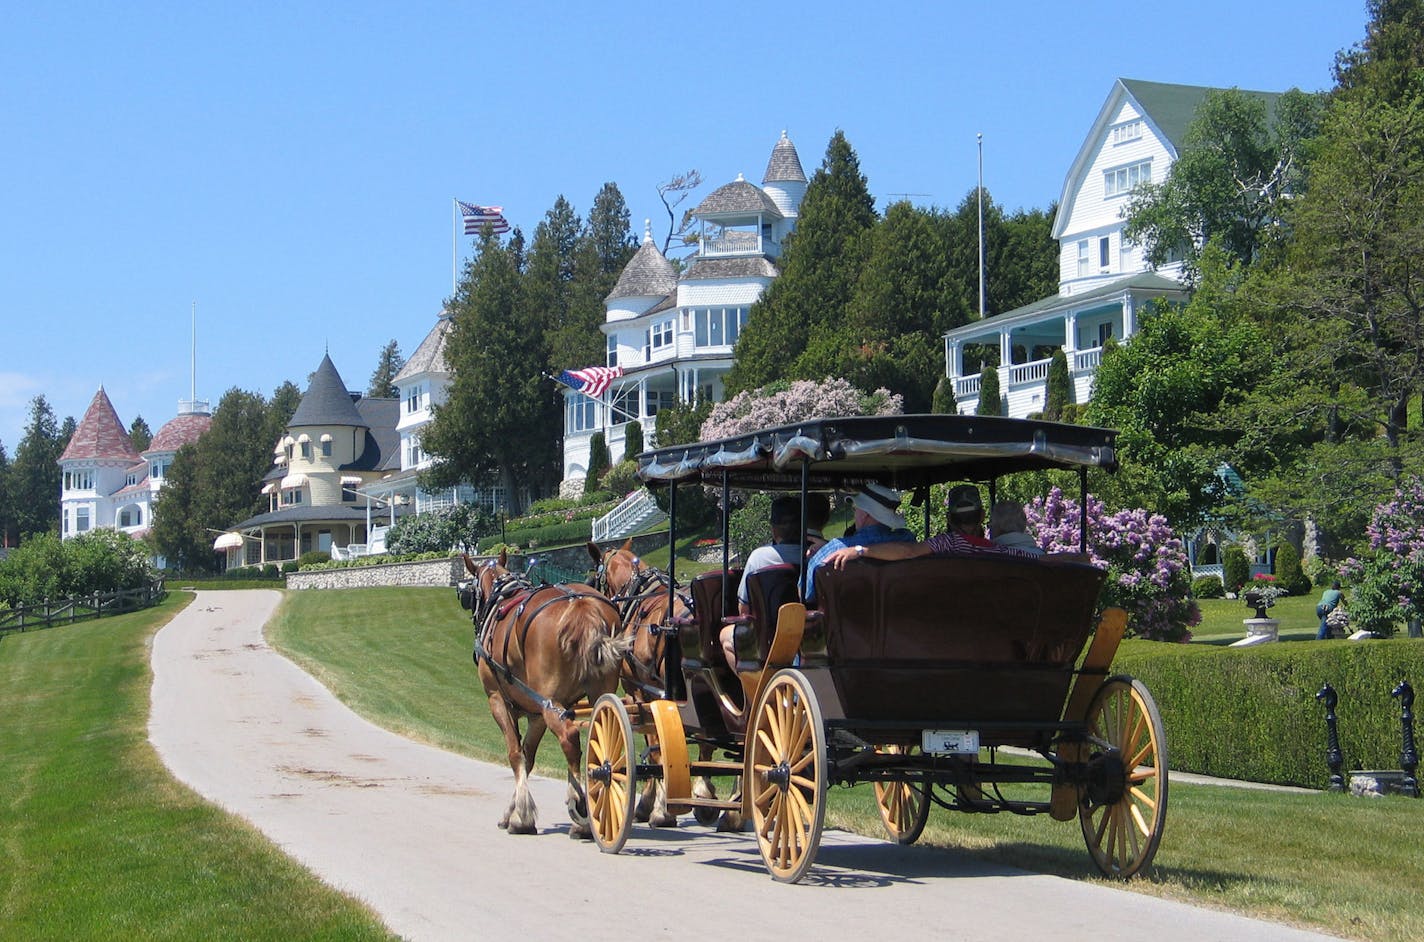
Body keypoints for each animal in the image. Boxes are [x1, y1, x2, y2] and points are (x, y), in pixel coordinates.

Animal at [464, 554, 626, 842]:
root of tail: (582, 606)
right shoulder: (536, 713)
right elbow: (528, 757)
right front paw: (514, 812)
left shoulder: (498, 700)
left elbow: (515, 754)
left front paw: (520, 816)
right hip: (597, 694)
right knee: (601, 740)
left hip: (549, 702)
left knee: (569, 738)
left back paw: (581, 813)